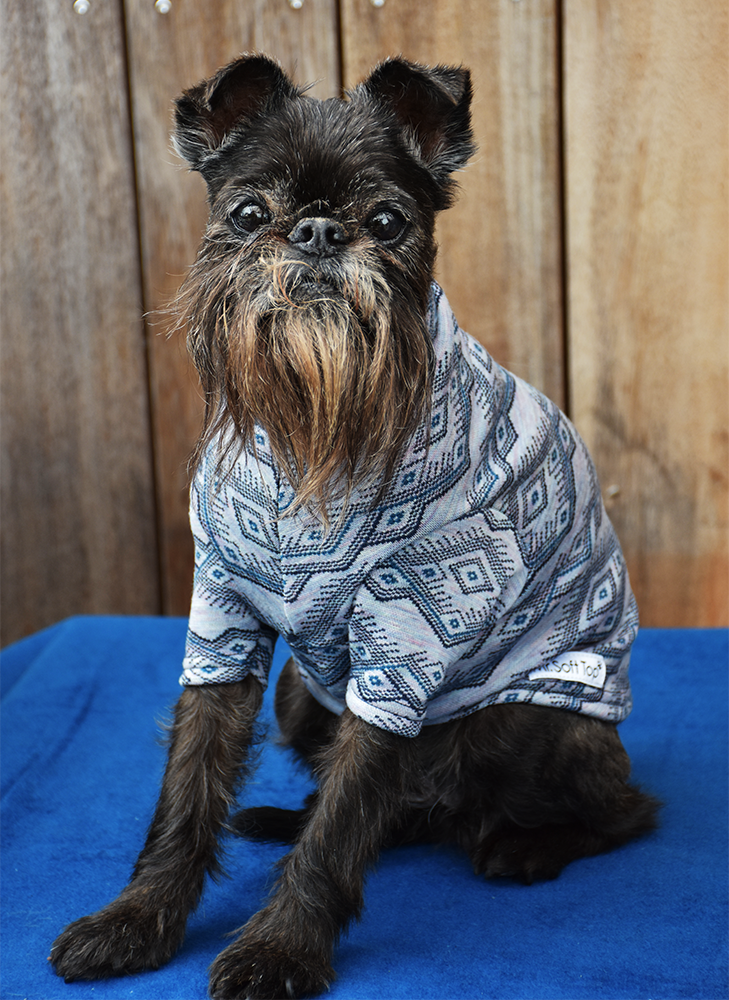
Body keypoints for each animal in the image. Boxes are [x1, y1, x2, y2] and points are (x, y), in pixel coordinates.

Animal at [48, 56, 656, 1000]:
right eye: (247, 214)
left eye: (387, 222)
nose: (318, 232)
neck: (309, 434)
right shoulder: (220, 621)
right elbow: (189, 784)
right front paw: (135, 919)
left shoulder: (403, 638)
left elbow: (342, 826)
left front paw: (280, 948)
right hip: (302, 695)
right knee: (392, 804)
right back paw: (280, 817)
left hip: (523, 723)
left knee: (625, 810)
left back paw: (524, 846)